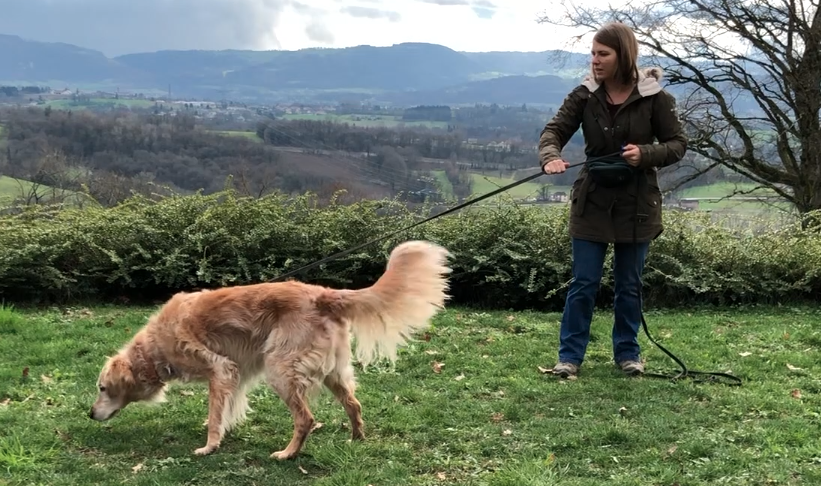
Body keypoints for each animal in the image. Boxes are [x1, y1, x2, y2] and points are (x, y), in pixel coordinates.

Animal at [89, 240, 452, 460]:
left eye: (102, 388)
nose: (90, 414)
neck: (155, 348)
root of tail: (322, 294)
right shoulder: (233, 374)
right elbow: (225, 408)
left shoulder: (220, 367)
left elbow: (214, 415)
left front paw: (209, 446)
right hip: (333, 373)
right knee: (354, 404)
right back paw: (356, 439)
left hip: (280, 369)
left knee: (306, 418)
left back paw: (288, 454)